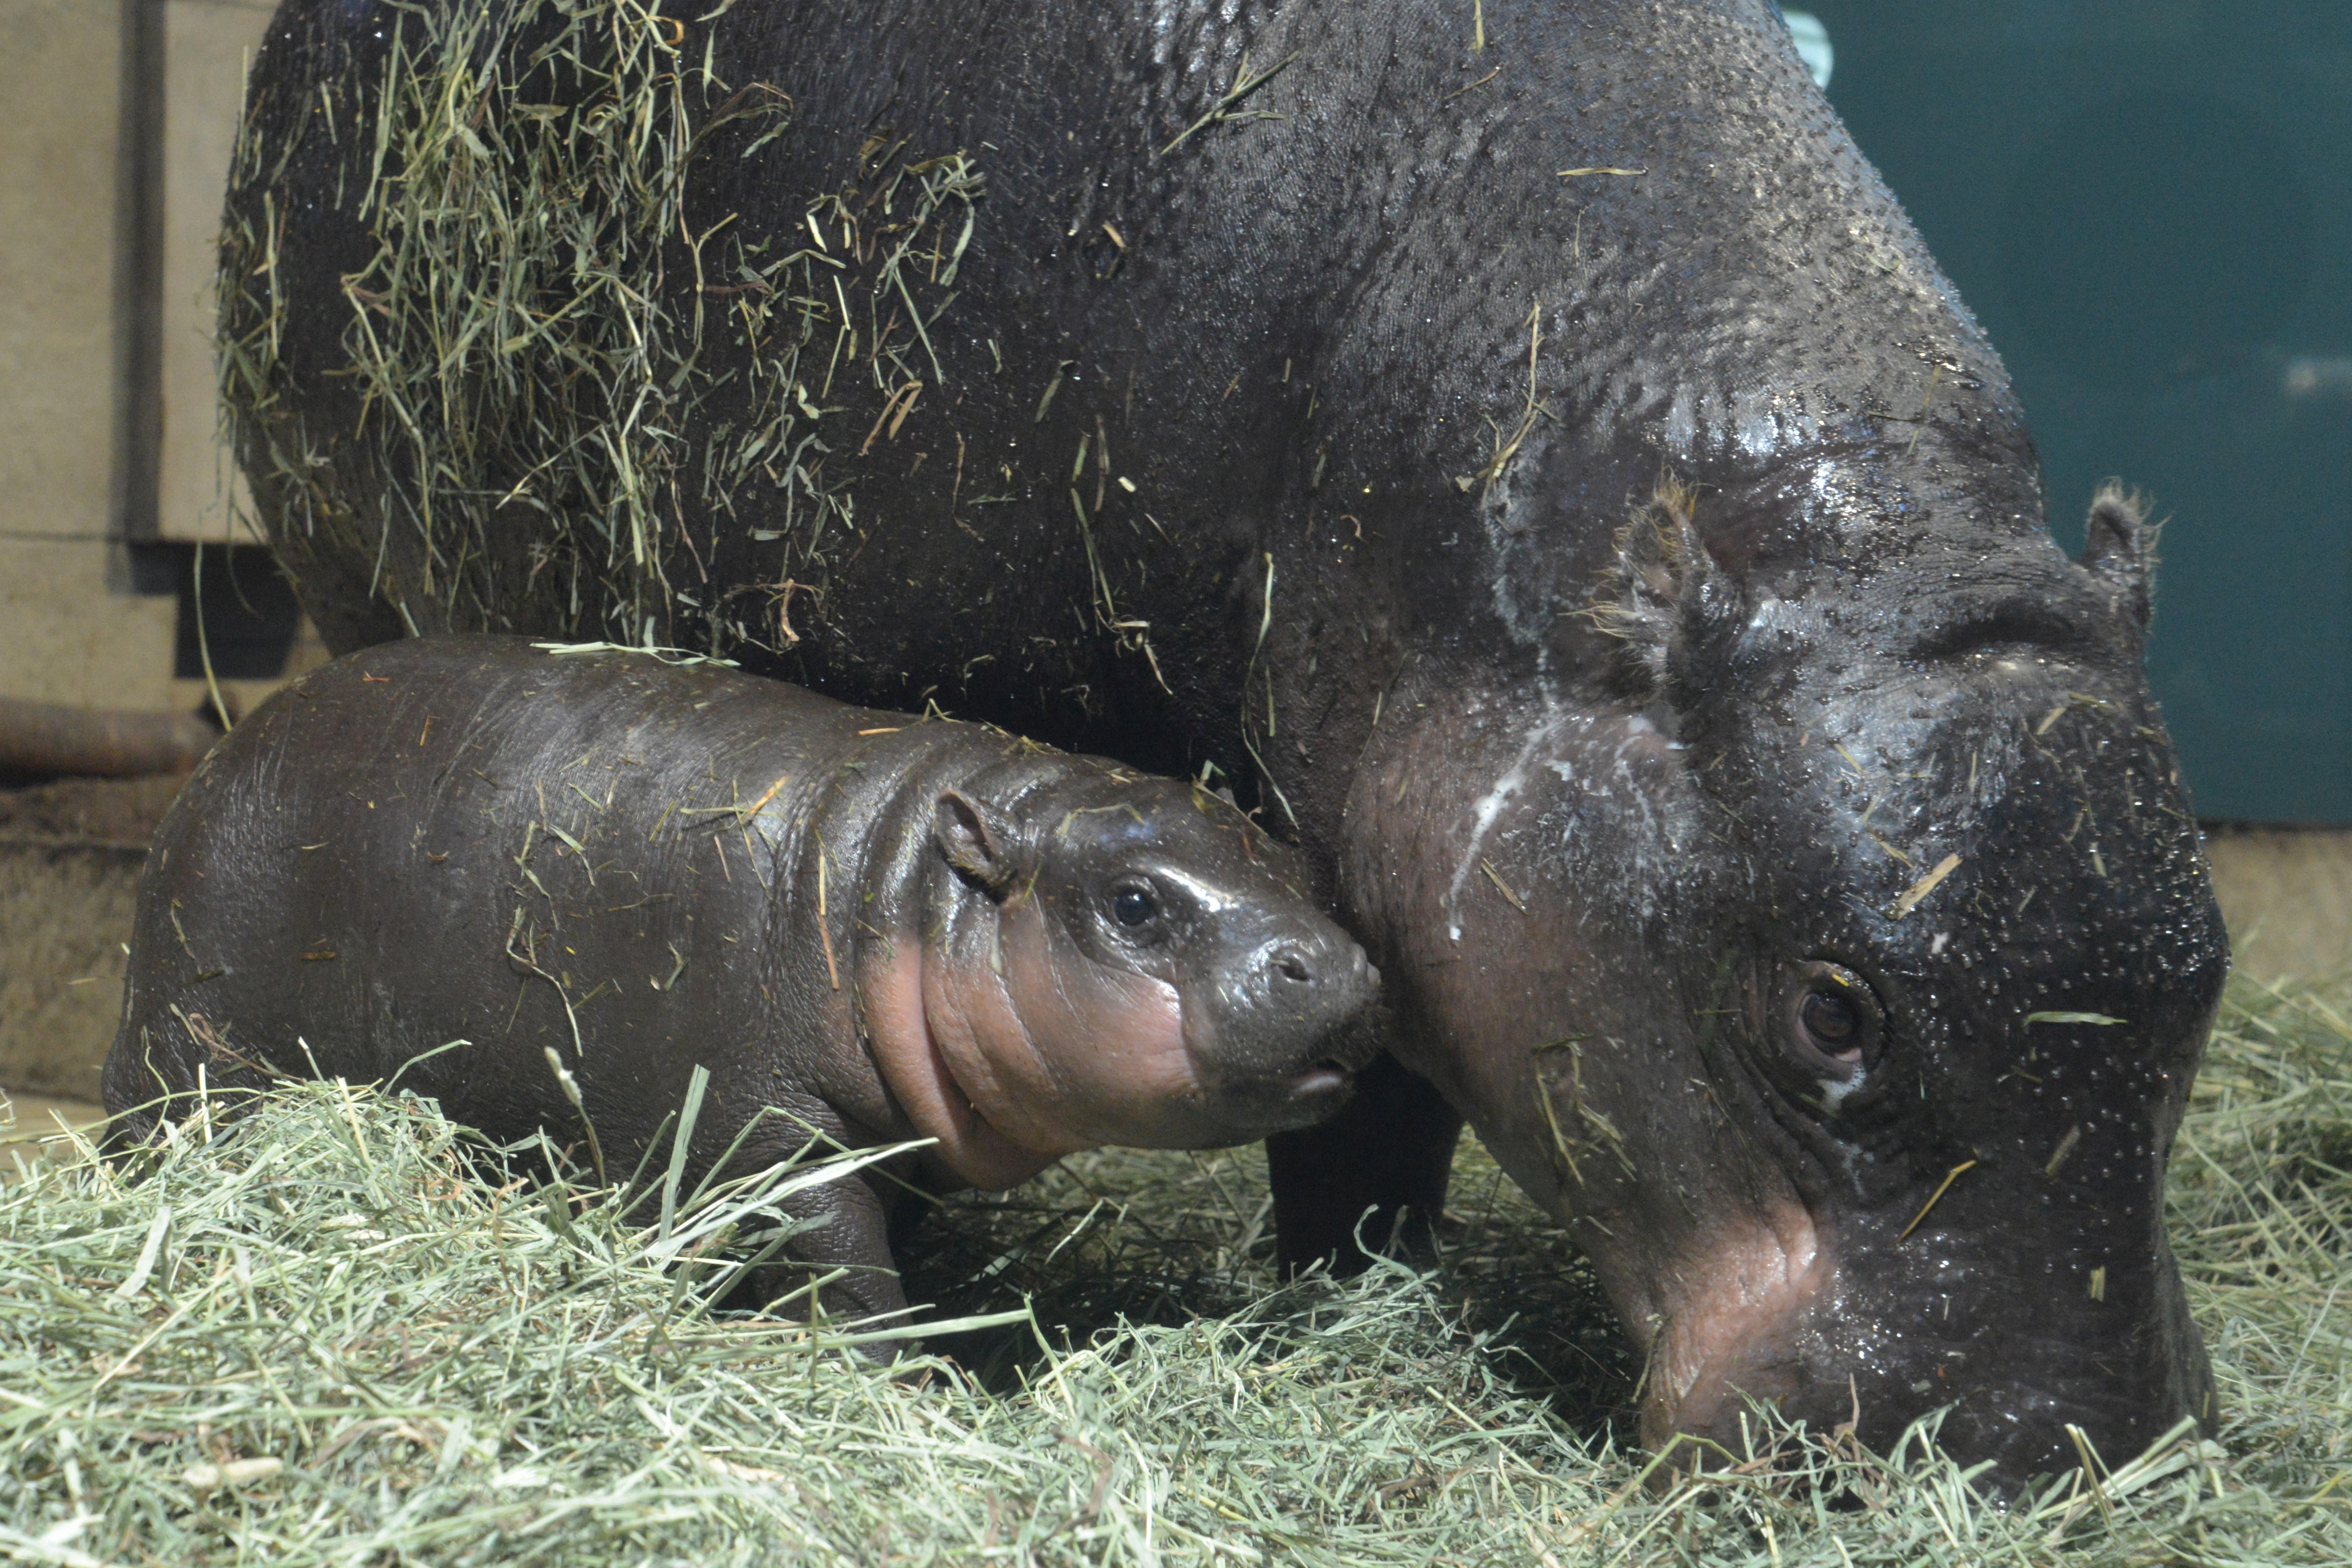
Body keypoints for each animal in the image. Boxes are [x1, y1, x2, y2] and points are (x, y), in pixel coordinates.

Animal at [105, 639, 1373, 1326]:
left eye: (1292, 858)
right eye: (1135, 903)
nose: (1351, 967)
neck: (901, 888)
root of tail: (220, 751)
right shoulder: (757, 1121)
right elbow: (839, 1258)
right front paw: (906, 1376)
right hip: (191, 1027)